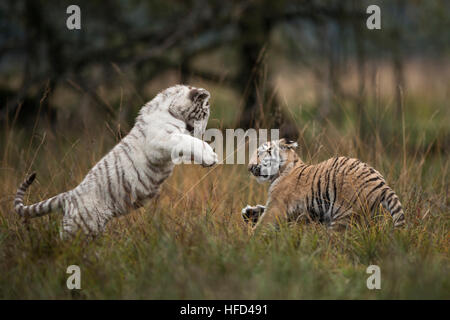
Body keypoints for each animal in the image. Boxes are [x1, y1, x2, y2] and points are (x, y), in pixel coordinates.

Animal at [13, 84, 217, 239]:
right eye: (205, 113)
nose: (203, 132)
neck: (172, 109)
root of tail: (69, 196)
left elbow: (189, 143)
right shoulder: (161, 140)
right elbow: (187, 140)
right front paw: (210, 155)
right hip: (78, 228)